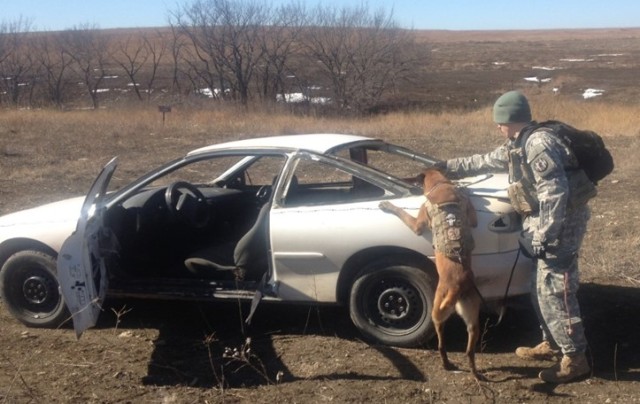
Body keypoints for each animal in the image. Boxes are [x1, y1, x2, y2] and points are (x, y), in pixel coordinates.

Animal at [380, 166, 480, 378]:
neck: (441, 186)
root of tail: (458, 286)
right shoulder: (472, 218)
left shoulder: (417, 224)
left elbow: (401, 212)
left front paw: (388, 205)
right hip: (472, 319)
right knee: (469, 350)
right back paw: (475, 373)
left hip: (437, 309)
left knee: (441, 344)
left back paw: (446, 364)